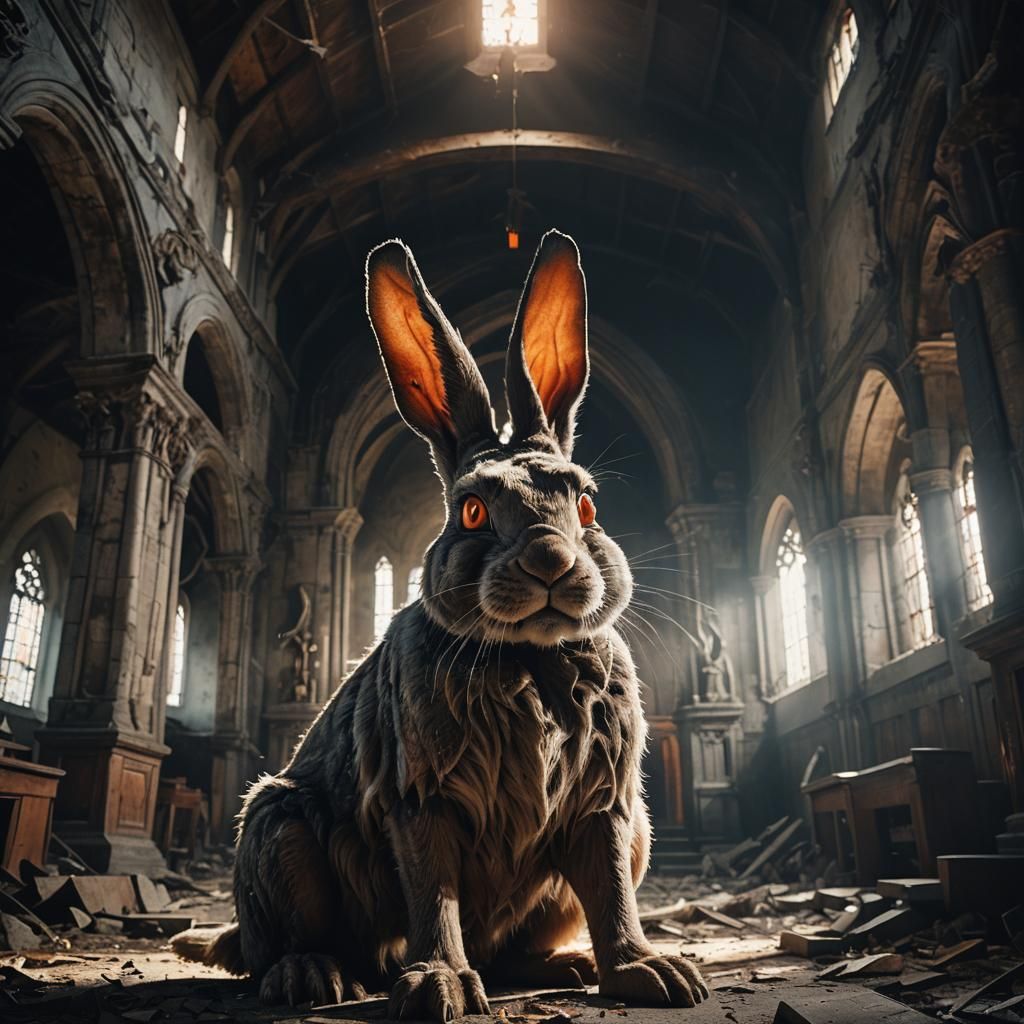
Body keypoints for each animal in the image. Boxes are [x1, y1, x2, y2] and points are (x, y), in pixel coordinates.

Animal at [172, 230, 708, 1019]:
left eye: (585, 505)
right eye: (472, 511)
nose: (551, 560)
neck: (530, 656)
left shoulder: (607, 811)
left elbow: (612, 893)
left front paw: (650, 973)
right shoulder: (422, 802)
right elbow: (435, 894)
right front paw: (439, 986)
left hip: (628, 835)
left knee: (520, 944)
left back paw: (568, 965)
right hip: (278, 829)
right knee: (288, 941)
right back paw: (315, 976)